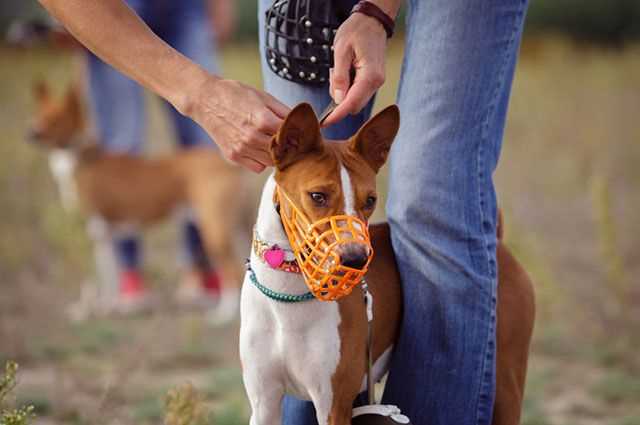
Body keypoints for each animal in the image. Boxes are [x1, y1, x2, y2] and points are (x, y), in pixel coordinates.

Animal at [30, 81, 250, 322]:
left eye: (55, 120)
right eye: (38, 115)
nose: (31, 133)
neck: (82, 158)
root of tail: (225, 163)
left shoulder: (93, 232)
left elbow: (94, 280)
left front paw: (88, 311)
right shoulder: (104, 237)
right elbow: (109, 278)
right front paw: (108, 306)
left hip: (214, 231)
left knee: (232, 272)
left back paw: (223, 314)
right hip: (239, 225)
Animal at [240, 103, 536, 424]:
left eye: (370, 200)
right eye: (317, 196)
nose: (355, 259)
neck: (288, 297)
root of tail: (498, 245)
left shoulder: (333, 406)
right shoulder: (264, 403)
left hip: (506, 383)